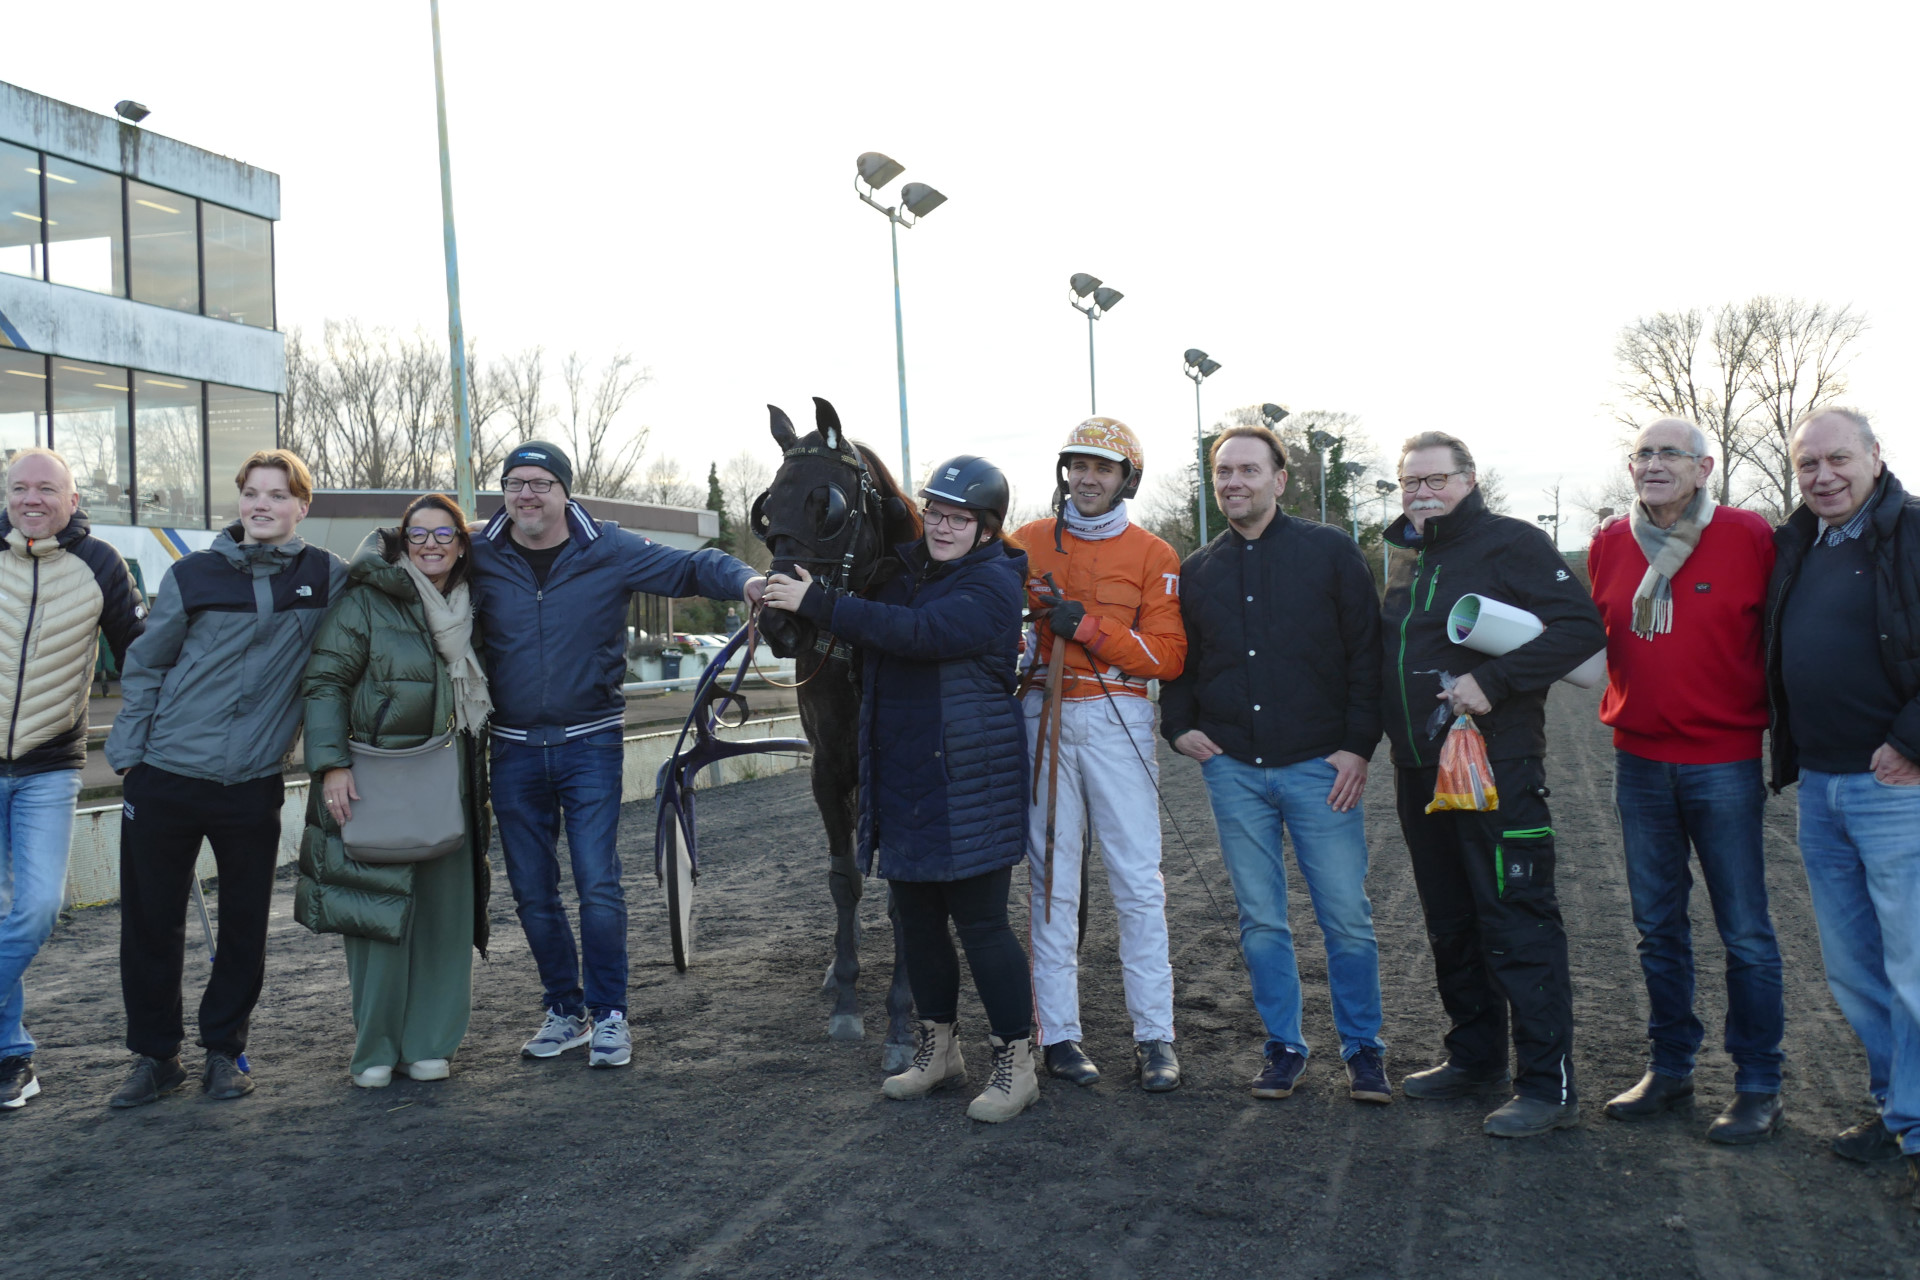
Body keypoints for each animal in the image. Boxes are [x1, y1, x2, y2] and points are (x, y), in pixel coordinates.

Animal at [751, 397, 921, 1072]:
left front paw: (904, 1014)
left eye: (827, 505)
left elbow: (907, 890)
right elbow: (843, 877)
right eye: (766, 506)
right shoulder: (829, 769)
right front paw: (846, 994)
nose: (779, 622)